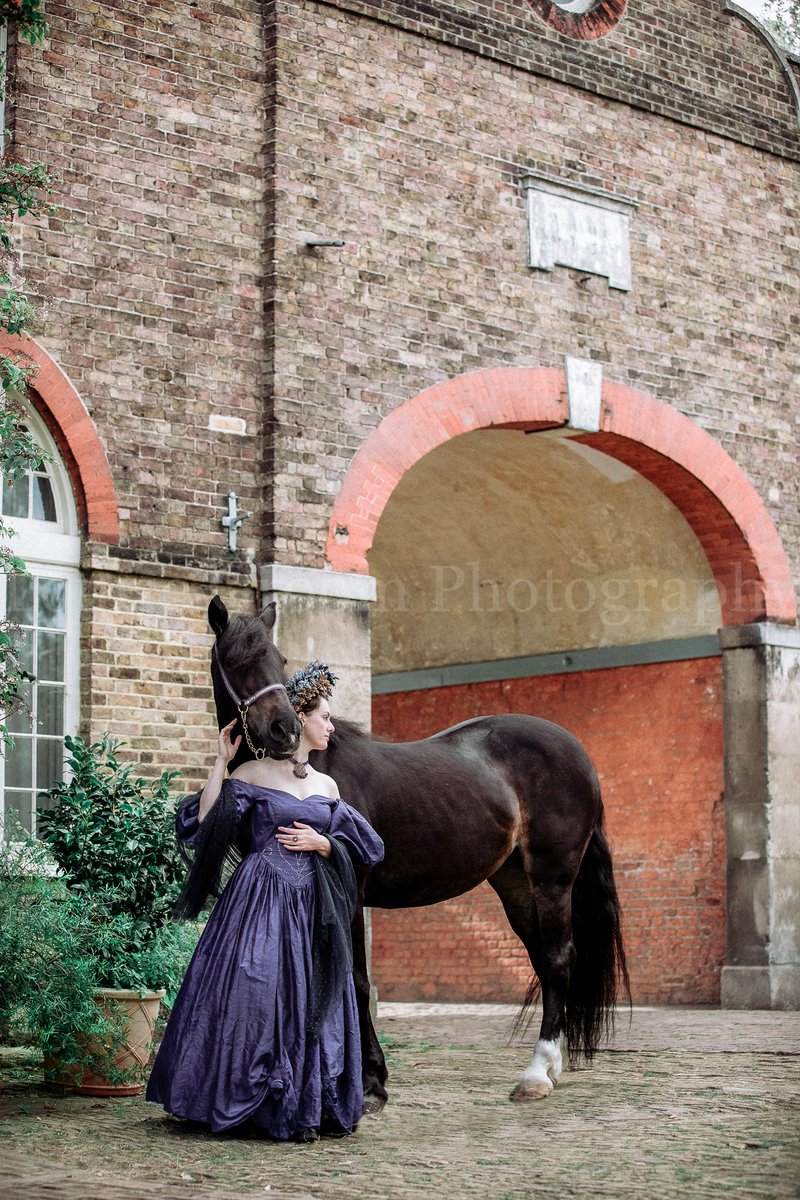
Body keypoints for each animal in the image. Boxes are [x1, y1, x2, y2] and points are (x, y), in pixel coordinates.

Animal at [208, 597, 633, 1104]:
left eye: (279, 659)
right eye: (235, 661)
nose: (283, 730)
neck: (306, 767)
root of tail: (577, 752)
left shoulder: (349, 888)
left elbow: (355, 977)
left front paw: (371, 1079)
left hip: (553, 877)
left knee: (557, 958)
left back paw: (535, 1073)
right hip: (516, 883)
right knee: (545, 959)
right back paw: (550, 1068)